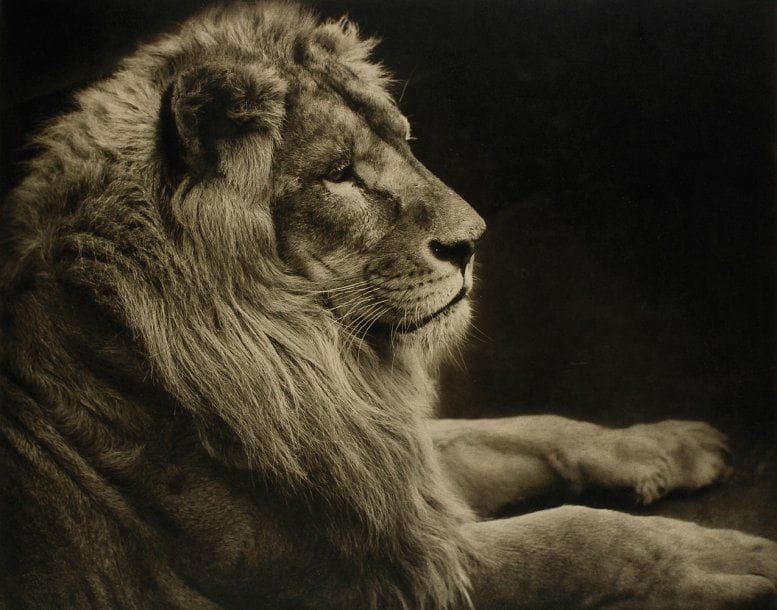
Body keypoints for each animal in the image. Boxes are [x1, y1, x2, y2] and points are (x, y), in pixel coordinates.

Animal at [1, 3, 775, 608]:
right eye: (340, 175)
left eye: (403, 142)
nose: (471, 241)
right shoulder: (377, 576)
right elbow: (578, 540)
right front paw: (729, 557)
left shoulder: (383, 462)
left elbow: (532, 428)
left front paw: (666, 445)